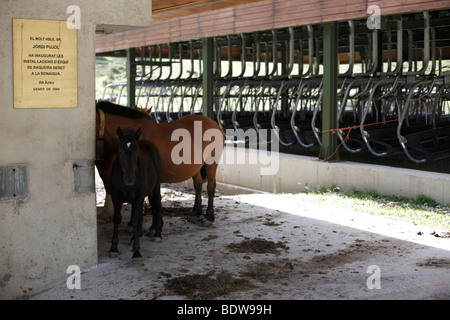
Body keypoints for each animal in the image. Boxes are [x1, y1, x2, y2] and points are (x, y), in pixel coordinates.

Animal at [95, 101, 223, 226]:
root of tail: (214, 124)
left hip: (212, 162)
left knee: (210, 186)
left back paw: (209, 217)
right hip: (195, 167)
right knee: (198, 185)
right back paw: (195, 213)